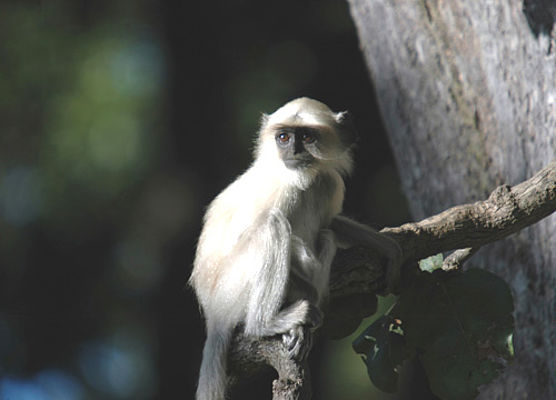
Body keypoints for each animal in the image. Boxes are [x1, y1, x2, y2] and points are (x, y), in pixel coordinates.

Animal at [189, 97, 402, 400]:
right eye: (283, 137)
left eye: (307, 137)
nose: (293, 150)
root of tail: (212, 312)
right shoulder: (283, 189)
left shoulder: (328, 182)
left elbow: (331, 221)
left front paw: (388, 247)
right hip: (231, 290)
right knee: (272, 225)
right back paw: (266, 323)